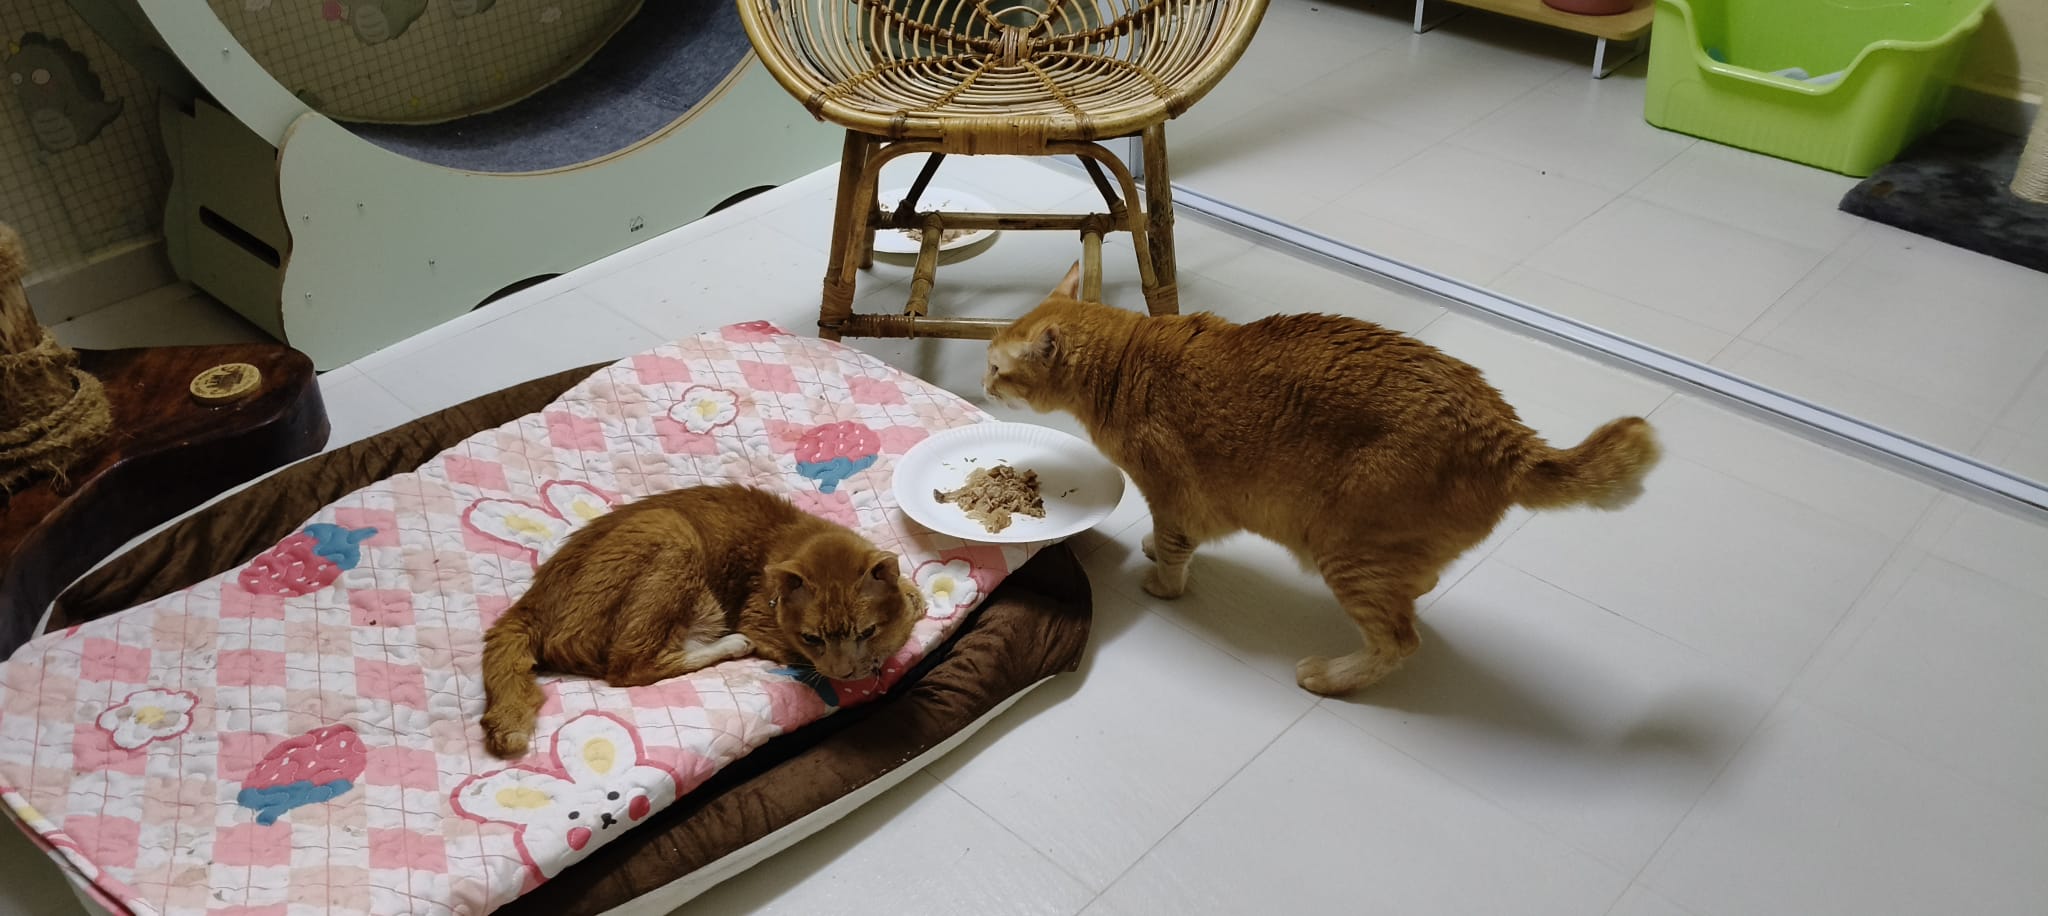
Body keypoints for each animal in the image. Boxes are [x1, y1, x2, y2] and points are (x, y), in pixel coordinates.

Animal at [479, 484, 923, 758]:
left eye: (866, 631)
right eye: (812, 639)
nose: (845, 669)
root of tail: (529, 604)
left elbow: (912, 600)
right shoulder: (762, 622)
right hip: (671, 533)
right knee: (630, 665)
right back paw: (731, 644)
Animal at [984, 264, 1661, 696]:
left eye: (995, 368)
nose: (983, 384)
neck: (1127, 361)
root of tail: (1504, 432)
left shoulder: (1172, 495)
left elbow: (1176, 553)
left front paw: (1162, 581)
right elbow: (1170, 541)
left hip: (1347, 553)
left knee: (1399, 642)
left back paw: (1332, 677)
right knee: (1419, 588)